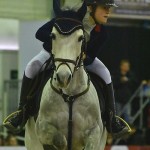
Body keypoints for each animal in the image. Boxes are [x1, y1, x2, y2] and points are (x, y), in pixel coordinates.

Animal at [24, 0, 107, 149]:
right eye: (52, 36)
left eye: (81, 38)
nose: (63, 77)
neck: (70, 95)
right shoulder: (42, 127)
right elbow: (60, 140)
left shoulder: (95, 132)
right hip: (32, 140)